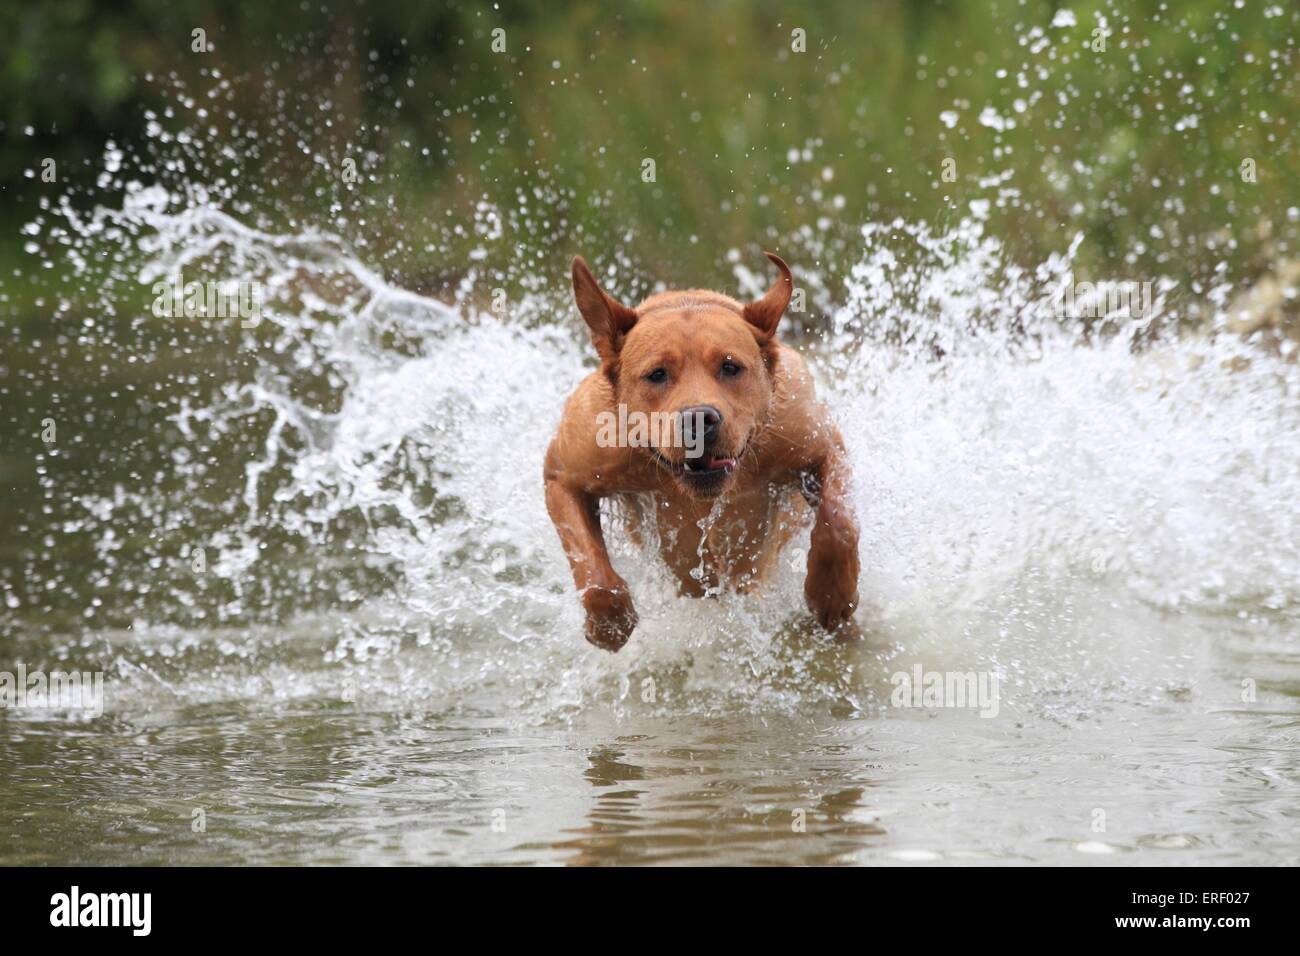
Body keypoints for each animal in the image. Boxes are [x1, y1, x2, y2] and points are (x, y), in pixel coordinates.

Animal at [543, 251, 857, 650]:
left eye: (730, 367)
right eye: (657, 374)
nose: (698, 419)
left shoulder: (814, 439)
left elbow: (837, 521)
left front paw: (831, 593)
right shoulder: (568, 472)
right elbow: (592, 569)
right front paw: (609, 622)